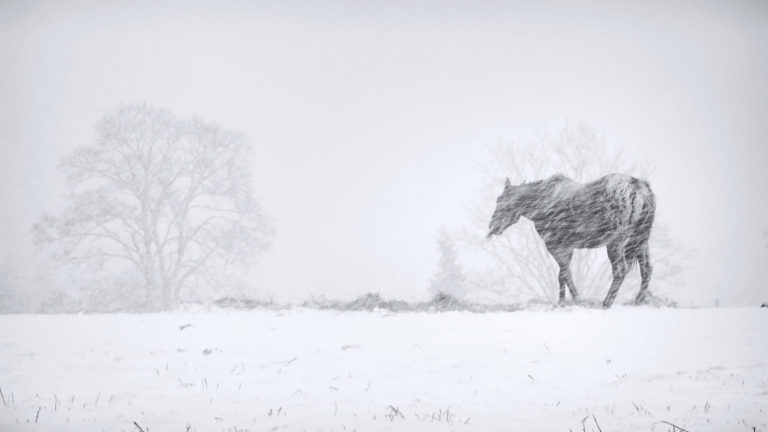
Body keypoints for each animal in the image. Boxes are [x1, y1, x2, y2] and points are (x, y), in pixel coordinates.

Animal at [487, 173, 655, 308]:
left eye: (504, 201)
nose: (493, 226)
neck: (539, 205)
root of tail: (641, 190)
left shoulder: (554, 245)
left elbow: (565, 273)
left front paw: (573, 300)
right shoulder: (567, 247)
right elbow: (563, 274)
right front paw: (565, 301)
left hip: (616, 242)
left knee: (620, 270)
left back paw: (606, 303)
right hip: (640, 240)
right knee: (647, 269)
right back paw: (638, 301)